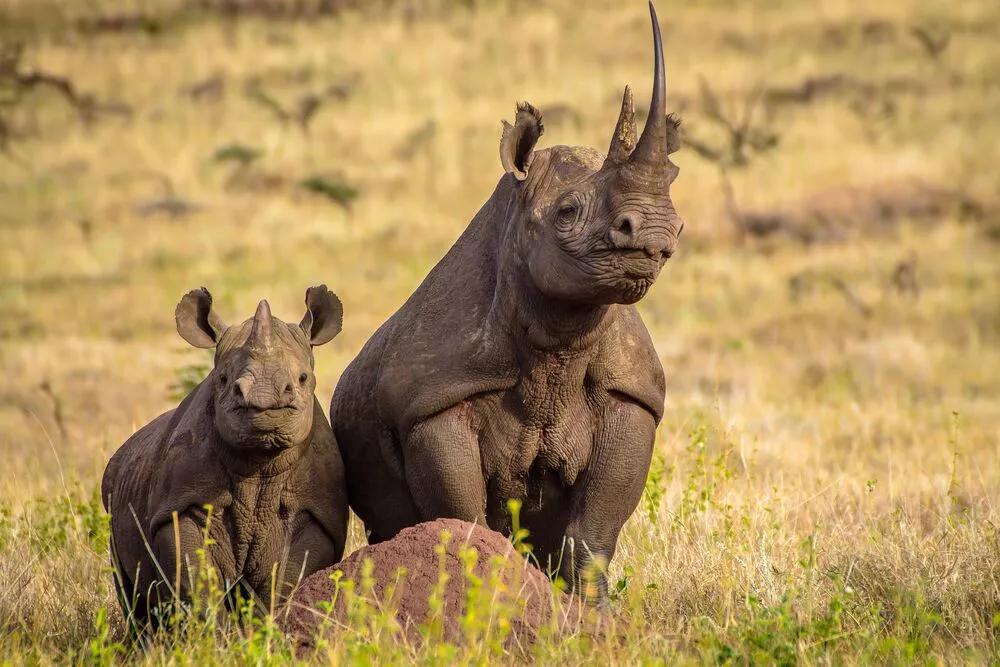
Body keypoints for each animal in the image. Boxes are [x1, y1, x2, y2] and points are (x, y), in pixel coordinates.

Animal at [102, 285, 349, 628]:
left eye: (303, 378)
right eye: (222, 379)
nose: (263, 397)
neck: (259, 464)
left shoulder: (315, 515)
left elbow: (284, 583)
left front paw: (263, 631)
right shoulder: (181, 507)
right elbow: (197, 583)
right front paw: (212, 636)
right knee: (132, 596)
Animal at [331, 1, 683, 605]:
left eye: (679, 220)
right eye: (567, 212)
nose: (658, 233)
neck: (558, 339)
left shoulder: (632, 396)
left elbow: (594, 531)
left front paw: (593, 614)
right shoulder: (433, 403)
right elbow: (464, 520)